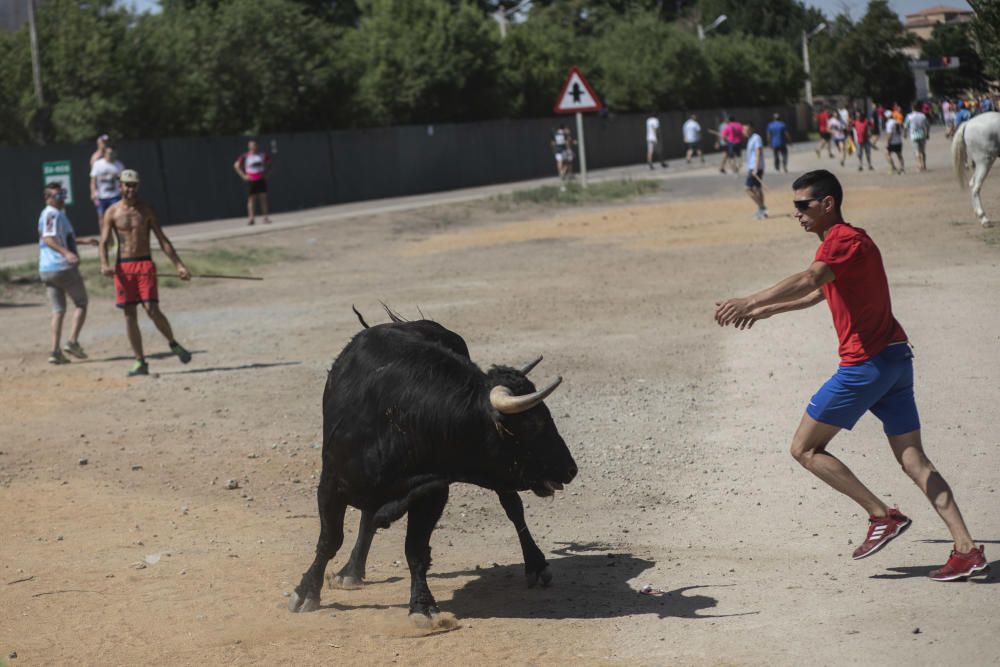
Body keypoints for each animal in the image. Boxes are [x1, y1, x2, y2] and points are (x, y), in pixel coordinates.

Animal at [288, 312, 580, 620]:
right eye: (533, 423)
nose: (570, 469)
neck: (400, 418)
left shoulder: (431, 490)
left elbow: (415, 550)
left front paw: (422, 606)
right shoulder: (331, 484)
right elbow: (330, 540)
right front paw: (306, 592)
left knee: (513, 507)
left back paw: (536, 564)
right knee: (367, 519)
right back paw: (351, 570)